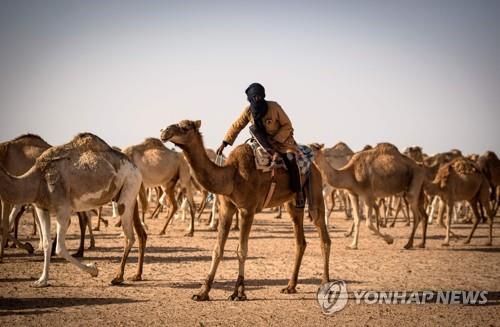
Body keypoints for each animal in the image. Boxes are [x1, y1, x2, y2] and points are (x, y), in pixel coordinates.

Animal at [0, 133, 146, 288]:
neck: (38, 178)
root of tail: (136, 168)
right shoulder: (41, 208)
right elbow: (46, 243)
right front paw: (42, 281)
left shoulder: (63, 209)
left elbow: (59, 248)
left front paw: (93, 269)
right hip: (126, 194)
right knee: (141, 234)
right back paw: (137, 275)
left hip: (129, 188)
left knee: (129, 236)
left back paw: (118, 277)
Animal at [161, 121, 332, 302]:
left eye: (185, 127)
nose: (164, 131)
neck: (231, 176)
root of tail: (314, 166)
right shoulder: (226, 209)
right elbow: (217, 250)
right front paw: (202, 292)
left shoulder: (247, 210)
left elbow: (241, 250)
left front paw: (239, 292)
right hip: (293, 203)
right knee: (300, 241)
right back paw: (290, 286)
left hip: (315, 188)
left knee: (323, 235)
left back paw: (324, 285)